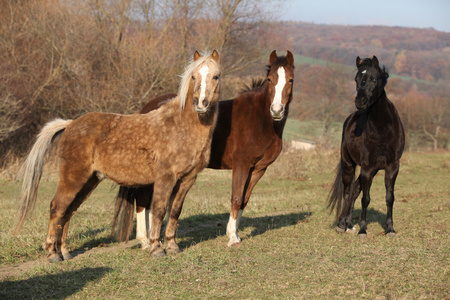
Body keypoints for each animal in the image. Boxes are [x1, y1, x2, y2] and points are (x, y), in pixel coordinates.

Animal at [11, 49, 220, 260]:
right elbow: (159, 211)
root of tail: (70, 125)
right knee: (57, 208)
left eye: (216, 76)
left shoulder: (187, 179)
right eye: (193, 77)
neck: (179, 125)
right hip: (73, 178)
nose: (200, 103)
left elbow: (175, 211)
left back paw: (64, 252)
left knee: (68, 210)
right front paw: (156, 248)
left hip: (89, 181)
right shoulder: (165, 178)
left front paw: (172, 246)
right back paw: (52, 253)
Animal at [113, 50, 296, 248]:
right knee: (142, 199)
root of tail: (147, 108)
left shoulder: (258, 169)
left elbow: (244, 201)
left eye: (291, 80)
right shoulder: (241, 165)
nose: (276, 110)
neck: (262, 120)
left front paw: (236, 234)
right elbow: (236, 197)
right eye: (269, 79)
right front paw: (232, 237)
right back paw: (145, 241)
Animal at [326, 56, 404, 238]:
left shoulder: (392, 166)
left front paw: (390, 229)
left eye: (374, 79)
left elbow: (390, 197)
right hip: (349, 165)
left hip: (372, 170)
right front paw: (362, 230)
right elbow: (365, 199)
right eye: (356, 79)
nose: (359, 102)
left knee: (354, 190)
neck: (383, 128)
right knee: (348, 192)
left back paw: (349, 224)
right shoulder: (367, 167)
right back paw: (342, 225)